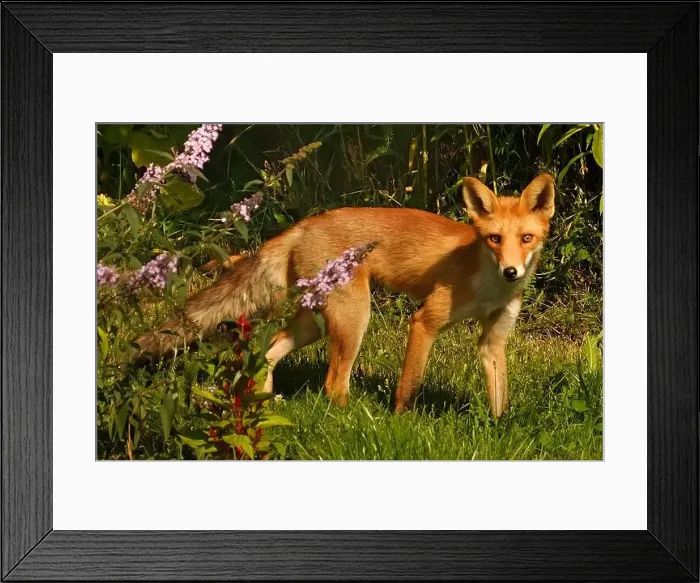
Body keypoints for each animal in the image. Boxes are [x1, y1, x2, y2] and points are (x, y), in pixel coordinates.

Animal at [136, 173, 555, 418]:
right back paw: (352, 419)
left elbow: (500, 399)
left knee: (269, 350)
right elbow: (409, 386)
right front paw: (400, 422)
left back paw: (266, 405)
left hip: (316, 323)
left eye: (526, 238)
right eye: (494, 239)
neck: (488, 282)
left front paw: (500, 429)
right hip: (355, 318)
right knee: (333, 384)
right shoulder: (425, 321)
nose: (512, 271)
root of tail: (304, 225)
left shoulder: (493, 339)